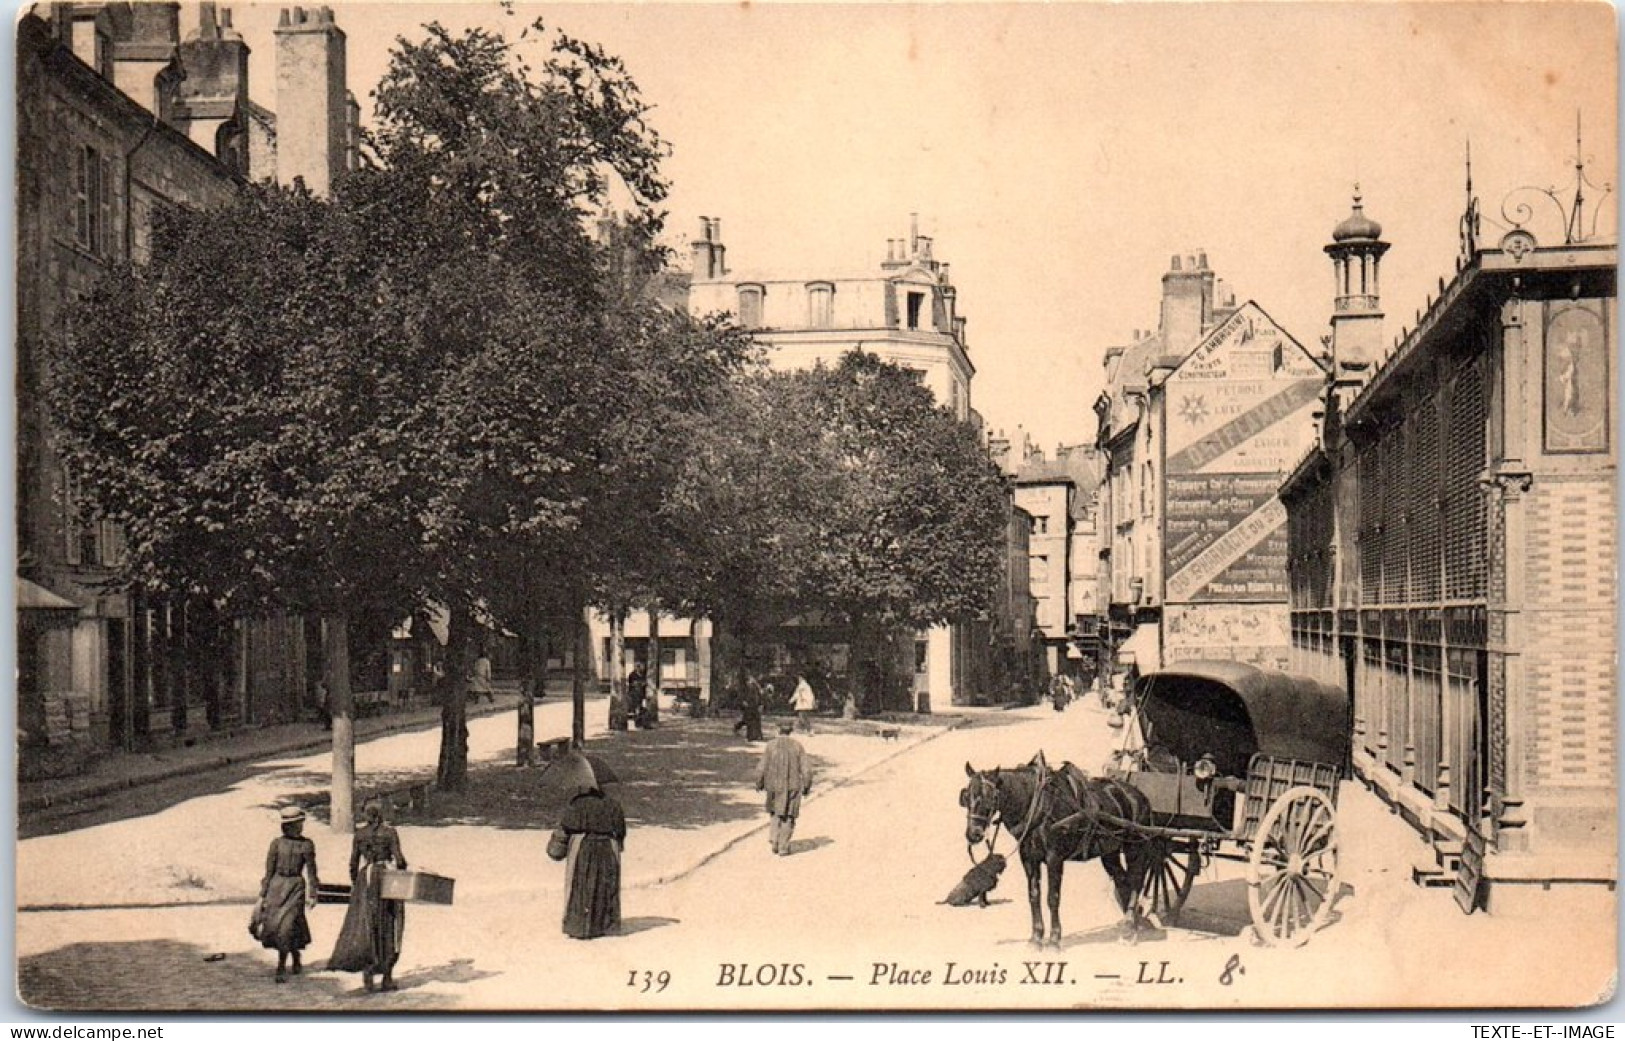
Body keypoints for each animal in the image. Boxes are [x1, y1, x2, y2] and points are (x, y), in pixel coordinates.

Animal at [962, 750, 1157, 948]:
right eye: (967, 796)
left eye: (992, 797)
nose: (973, 834)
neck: (1039, 805)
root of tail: (1139, 795)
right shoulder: (1028, 858)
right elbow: (1034, 895)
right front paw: (1036, 937)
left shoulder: (1054, 858)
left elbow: (1052, 898)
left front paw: (1054, 939)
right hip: (1110, 851)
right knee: (1121, 879)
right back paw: (1133, 923)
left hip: (1135, 847)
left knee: (1135, 880)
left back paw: (1130, 926)